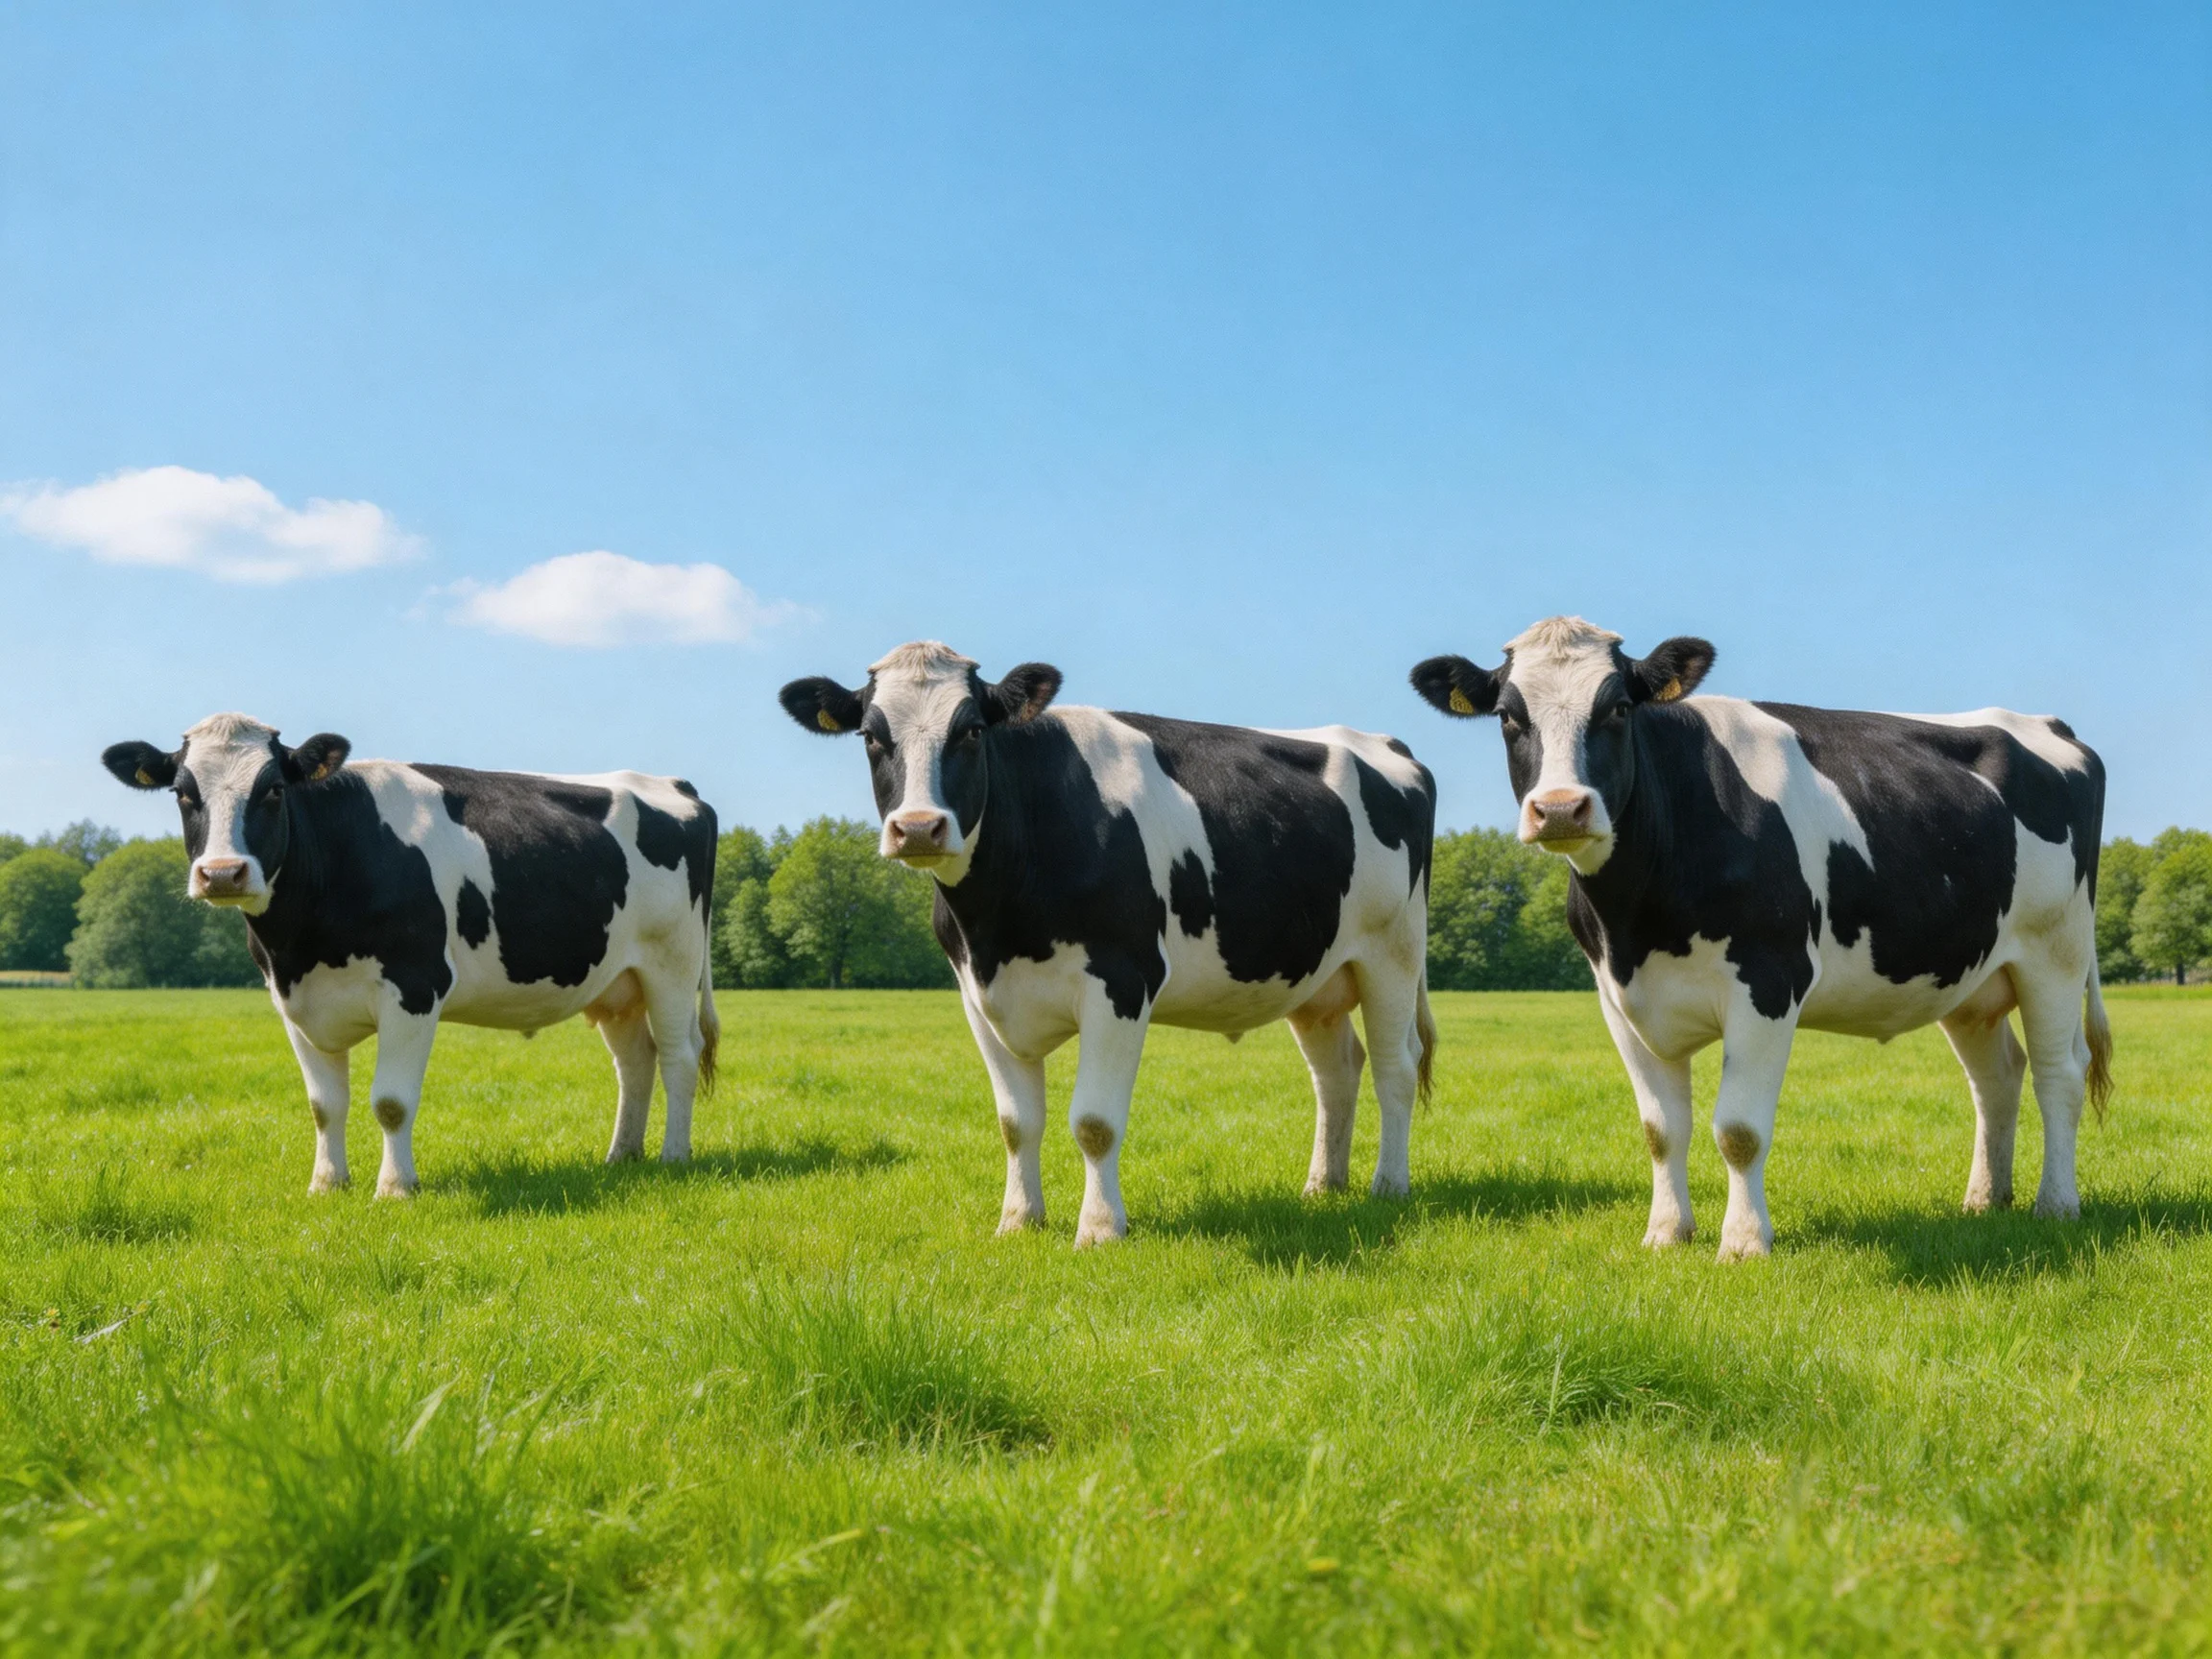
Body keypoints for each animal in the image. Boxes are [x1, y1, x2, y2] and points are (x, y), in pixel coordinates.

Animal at [101, 714, 719, 1196]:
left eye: (274, 789)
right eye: (183, 793)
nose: (223, 873)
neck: (303, 942)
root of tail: (672, 783)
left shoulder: (415, 987)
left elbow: (391, 1101)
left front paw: (396, 1187)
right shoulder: (293, 1002)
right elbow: (324, 1105)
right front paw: (327, 1184)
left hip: (672, 962)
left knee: (679, 1056)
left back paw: (673, 1156)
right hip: (618, 981)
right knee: (635, 1061)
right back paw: (621, 1157)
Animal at [779, 643, 1438, 1246]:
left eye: (970, 731)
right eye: (870, 735)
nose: (918, 827)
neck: (999, 924)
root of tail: (1386, 744)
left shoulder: (1122, 981)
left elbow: (1094, 1122)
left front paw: (1099, 1229)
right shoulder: (978, 996)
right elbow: (1015, 1123)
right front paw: (1018, 1221)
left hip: (1394, 954)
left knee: (1396, 1068)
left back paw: (1388, 1186)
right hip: (1315, 976)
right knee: (1337, 1072)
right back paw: (1323, 1186)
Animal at [1411, 617, 2110, 1261]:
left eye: (1618, 708)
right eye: (1508, 715)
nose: (1559, 808)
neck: (1637, 920)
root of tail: (2045, 725)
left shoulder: (1769, 981)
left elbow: (1739, 1130)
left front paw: (1745, 1242)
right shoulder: (1618, 997)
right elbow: (1660, 1130)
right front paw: (1666, 1233)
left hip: (2056, 951)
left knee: (2059, 1073)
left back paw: (2056, 1204)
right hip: (1970, 977)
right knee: (1997, 1077)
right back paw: (1984, 1200)